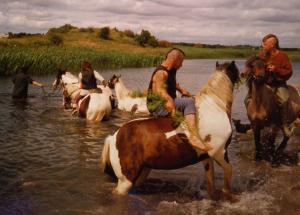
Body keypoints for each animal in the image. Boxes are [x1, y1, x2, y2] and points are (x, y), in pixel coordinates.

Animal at [102, 61, 240, 202]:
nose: (105, 83)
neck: (214, 107)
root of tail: (113, 137)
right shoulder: (219, 153)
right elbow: (229, 172)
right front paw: (229, 196)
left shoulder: (207, 157)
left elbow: (211, 184)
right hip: (126, 180)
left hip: (142, 171)